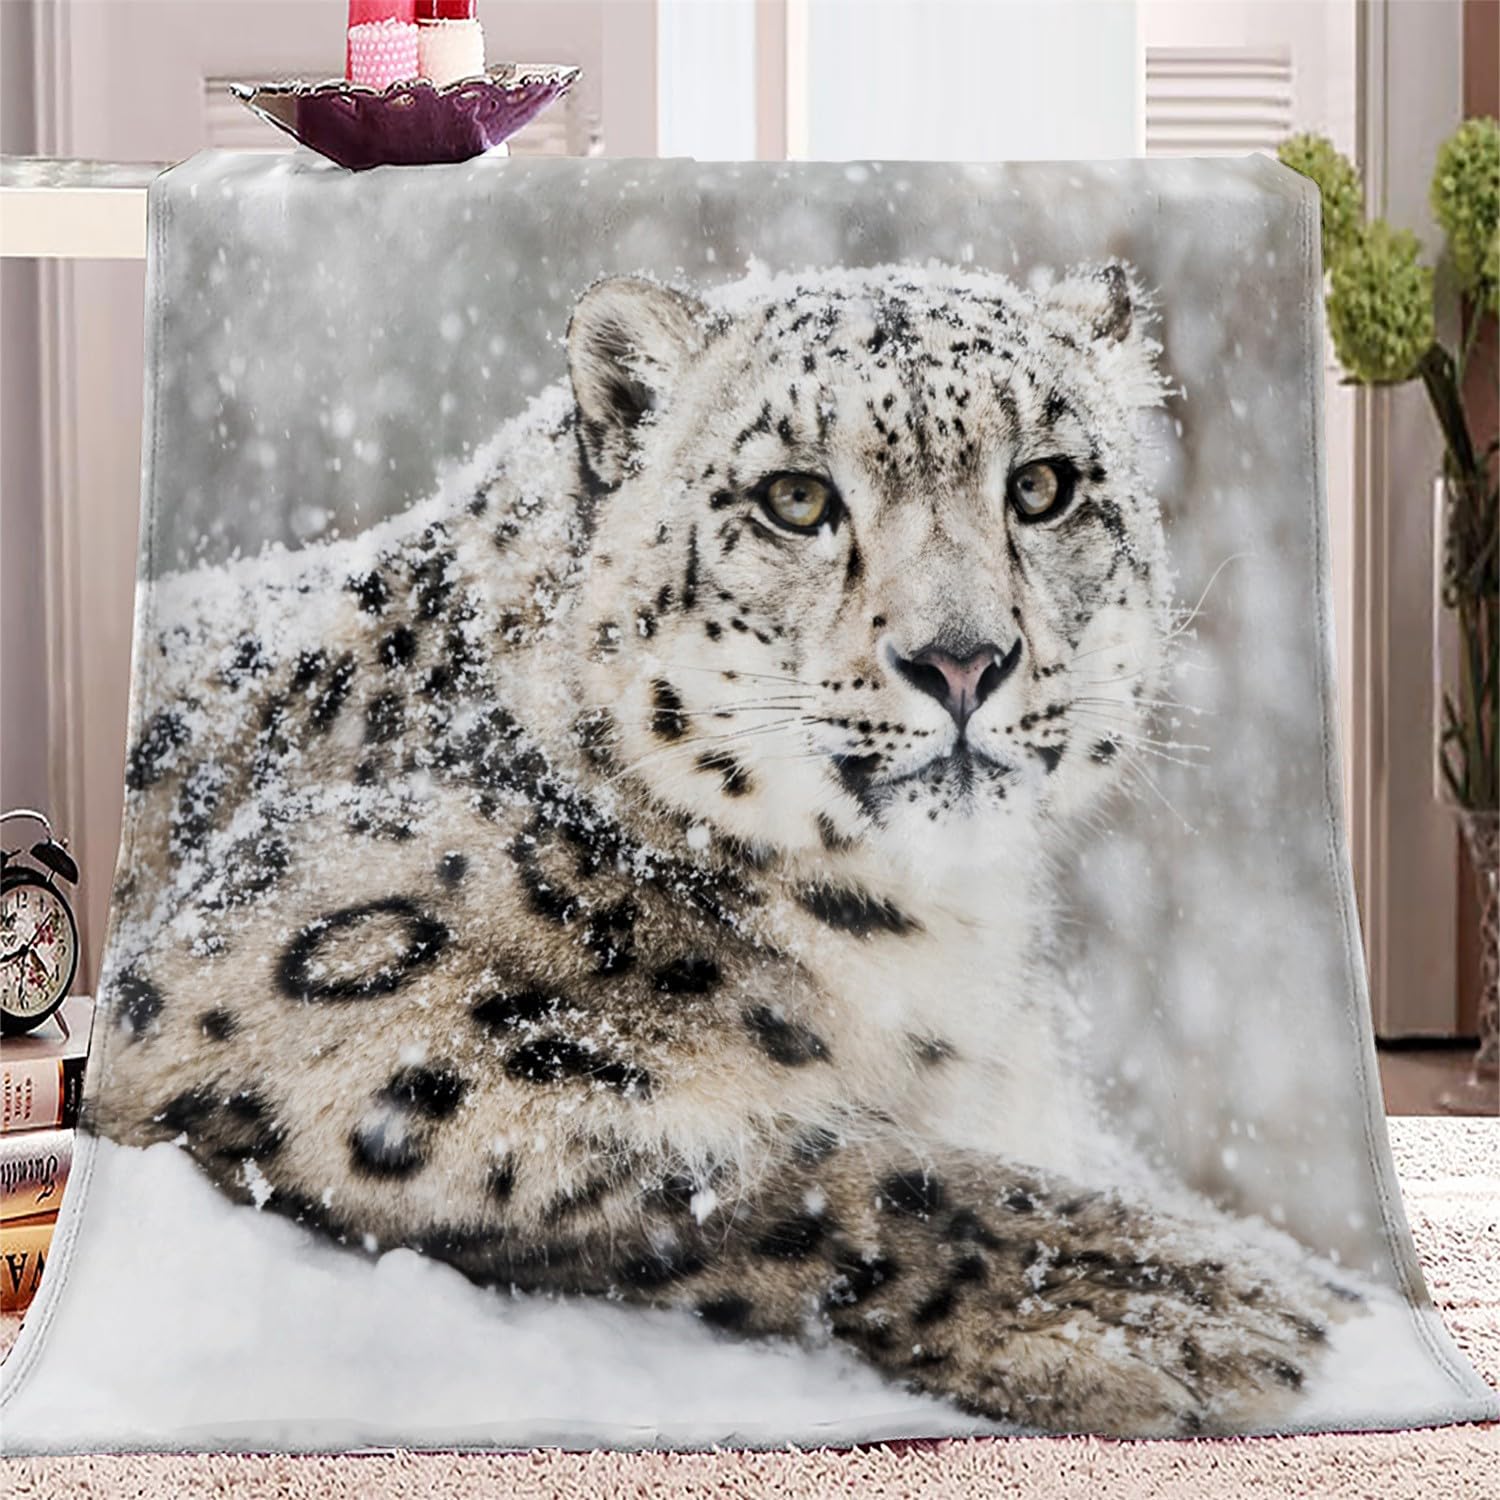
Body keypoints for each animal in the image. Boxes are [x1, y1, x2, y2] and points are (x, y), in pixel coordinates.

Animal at [93, 262, 1356, 1437]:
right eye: (796, 497)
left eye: (1043, 485)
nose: (961, 659)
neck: (930, 946)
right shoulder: (303, 1023)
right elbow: (774, 1167)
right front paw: (1184, 1305)